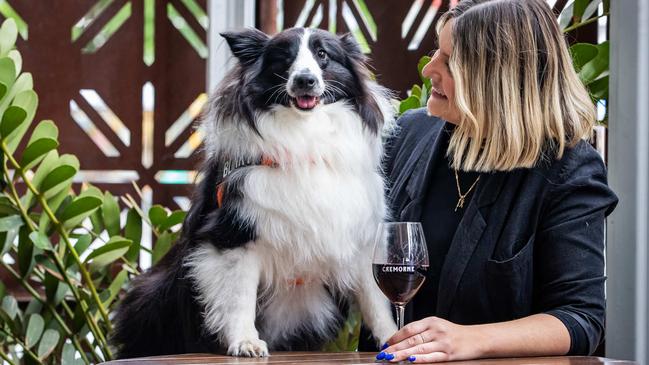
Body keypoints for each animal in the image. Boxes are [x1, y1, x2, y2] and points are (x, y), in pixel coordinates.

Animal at [111, 27, 394, 356]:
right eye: (283, 58)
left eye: (323, 54)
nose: (305, 80)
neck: (304, 132)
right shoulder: (234, 235)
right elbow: (238, 296)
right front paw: (245, 342)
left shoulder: (360, 233)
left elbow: (375, 297)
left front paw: (394, 336)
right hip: (155, 294)